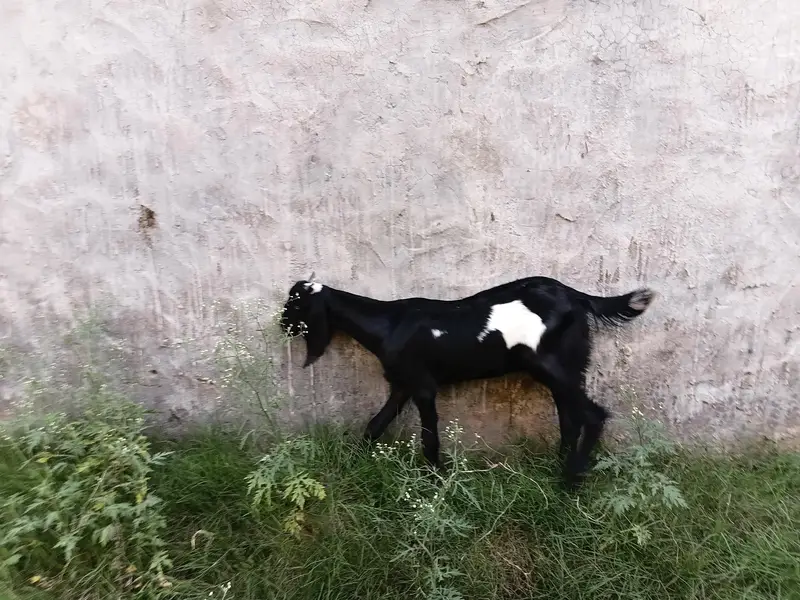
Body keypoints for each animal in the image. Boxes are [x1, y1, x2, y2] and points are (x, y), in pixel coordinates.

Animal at [279, 274, 656, 488]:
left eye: (294, 304)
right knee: (569, 417)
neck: (389, 323)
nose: (281, 325)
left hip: (549, 364)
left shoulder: (422, 386)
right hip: (569, 365)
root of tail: (576, 296)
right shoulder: (402, 385)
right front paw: (352, 464)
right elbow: (375, 425)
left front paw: (438, 482)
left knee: (592, 415)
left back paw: (570, 480)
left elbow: (430, 438)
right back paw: (558, 466)